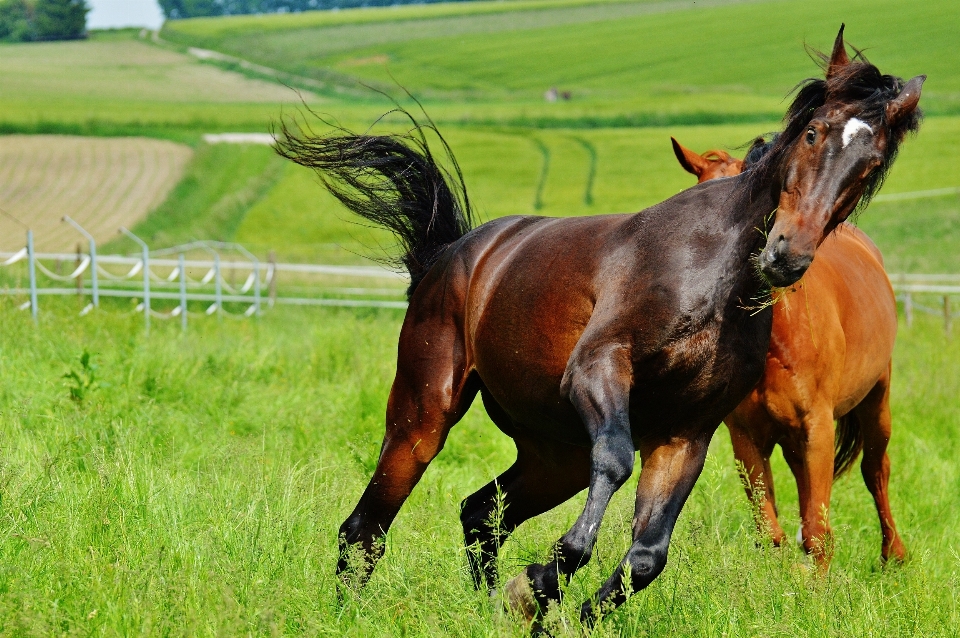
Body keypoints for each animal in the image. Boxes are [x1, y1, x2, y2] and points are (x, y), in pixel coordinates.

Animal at [672, 138, 904, 568]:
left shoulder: (818, 428)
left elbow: (818, 532)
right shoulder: (747, 437)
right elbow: (771, 531)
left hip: (876, 399)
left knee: (875, 470)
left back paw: (894, 555)